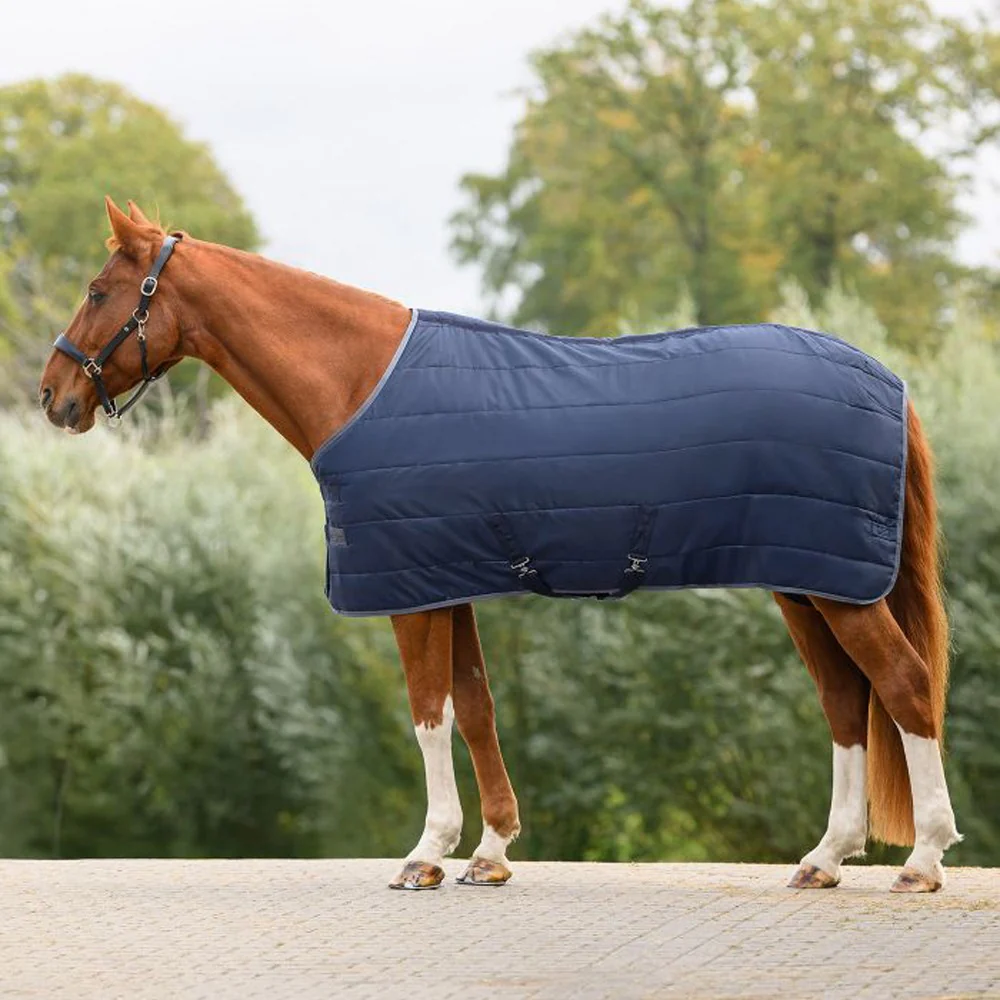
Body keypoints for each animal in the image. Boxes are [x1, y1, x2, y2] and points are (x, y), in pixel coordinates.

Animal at [38, 198, 961, 892]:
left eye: (97, 289)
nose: (53, 397)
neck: (361, 382)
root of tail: (890, 382)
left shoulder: (411, 593)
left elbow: (429, 713)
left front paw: (427, 853)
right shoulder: (448, 583)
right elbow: (476, 708)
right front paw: (490, 853)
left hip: (837, 589)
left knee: (904, 685)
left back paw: (921, 860)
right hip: (808, 583)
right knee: (846, 703)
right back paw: (825, 858)